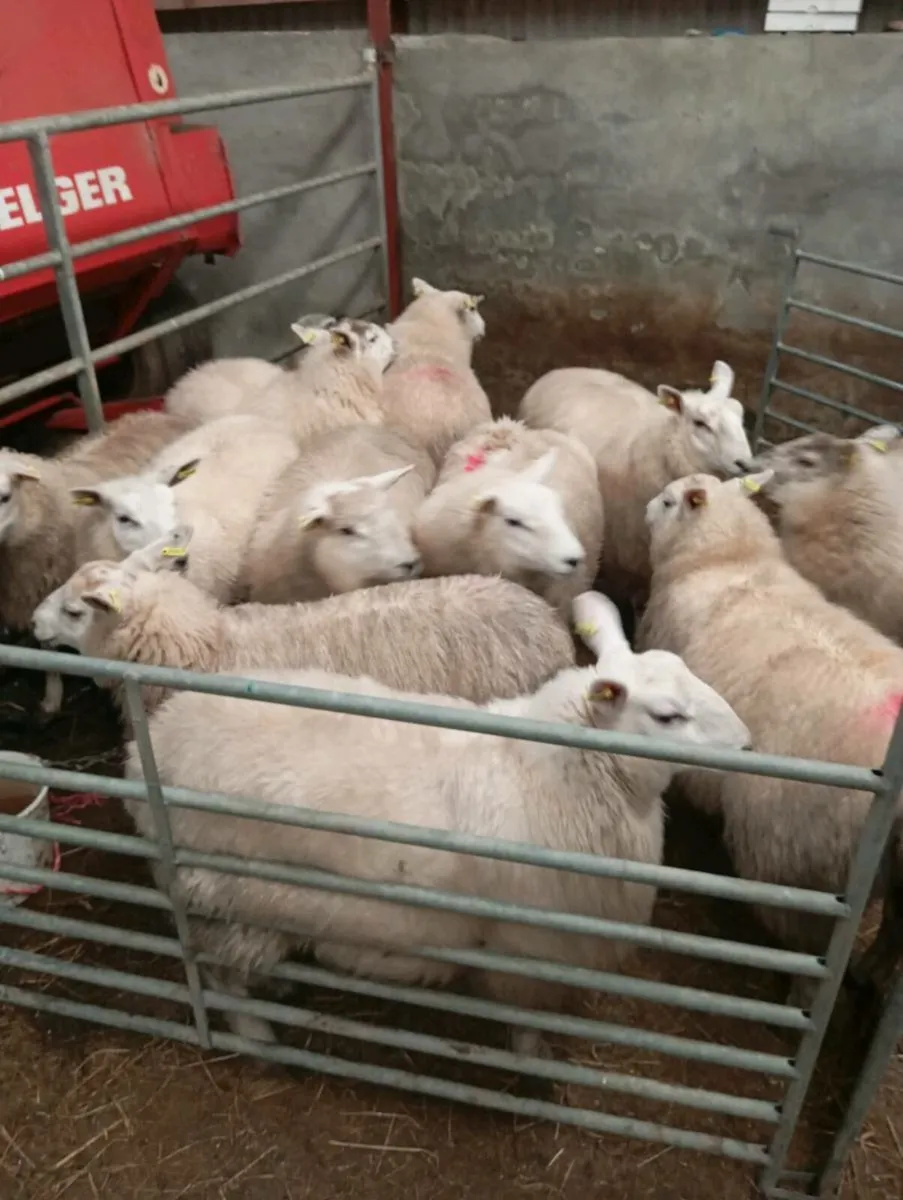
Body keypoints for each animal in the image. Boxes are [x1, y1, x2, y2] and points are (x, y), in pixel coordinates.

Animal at [121, 590, 749, 1048]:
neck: (559, 770)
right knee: (223, 979)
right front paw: (533, 1055)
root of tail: (154, 742)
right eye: (668, 716)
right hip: (221, 899)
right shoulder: (531, 950)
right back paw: (257, 1034)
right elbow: (529, 1024)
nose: (746, 744)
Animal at [637, 467, 903, 991]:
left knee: (812, 949)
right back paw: (874, 971)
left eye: (669, 500)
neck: (727, 558)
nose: (645, 508)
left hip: (802, 860)